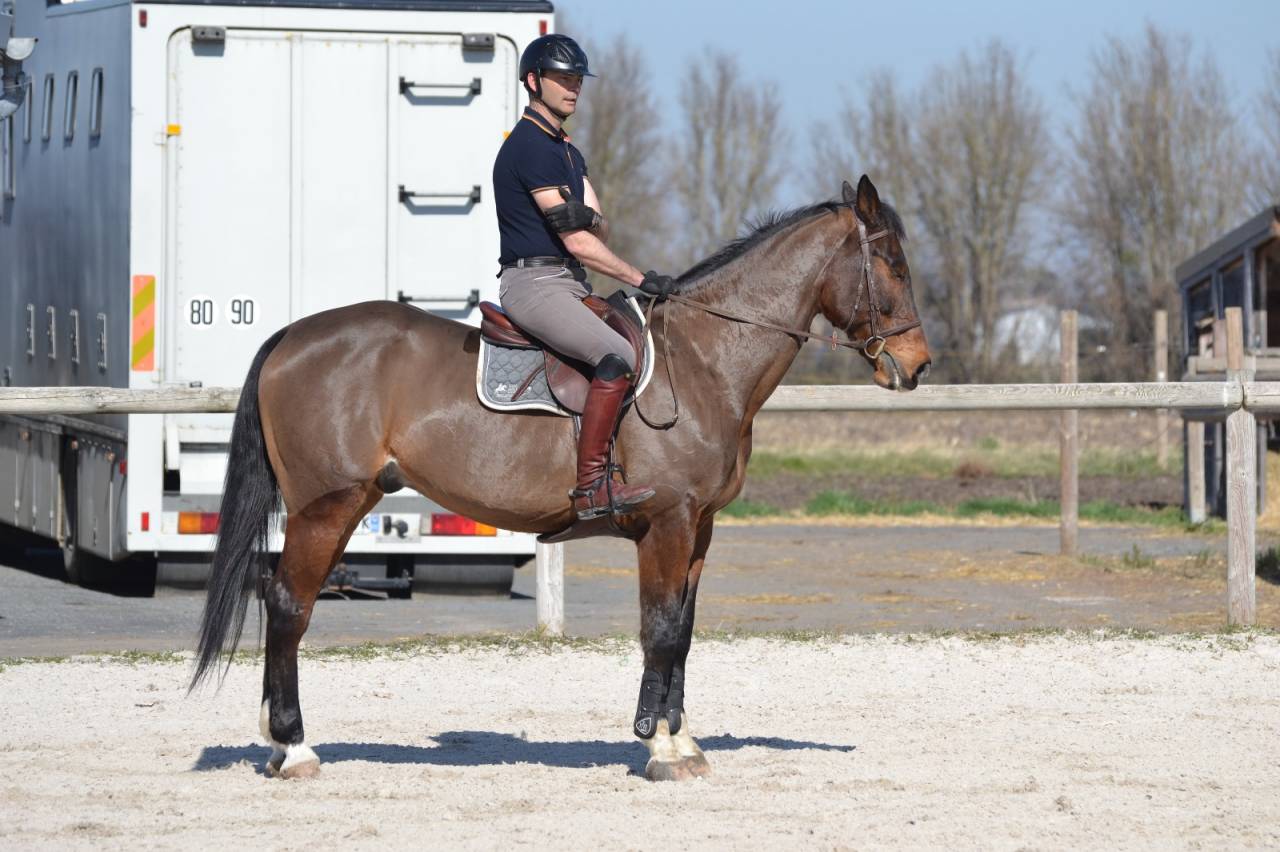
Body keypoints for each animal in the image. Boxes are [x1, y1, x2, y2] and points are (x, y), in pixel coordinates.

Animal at [190, 175, 931, 781]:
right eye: (893, 265)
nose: (918, 364)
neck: (705, 359)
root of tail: (292, 337)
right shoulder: (668, 524)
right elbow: (660, 628)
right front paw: (658, 745)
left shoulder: (700, 527)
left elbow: (684, 630)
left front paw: (683, 740)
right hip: (328, 507)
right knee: (289, 604)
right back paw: (294, 747)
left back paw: (279, 744)